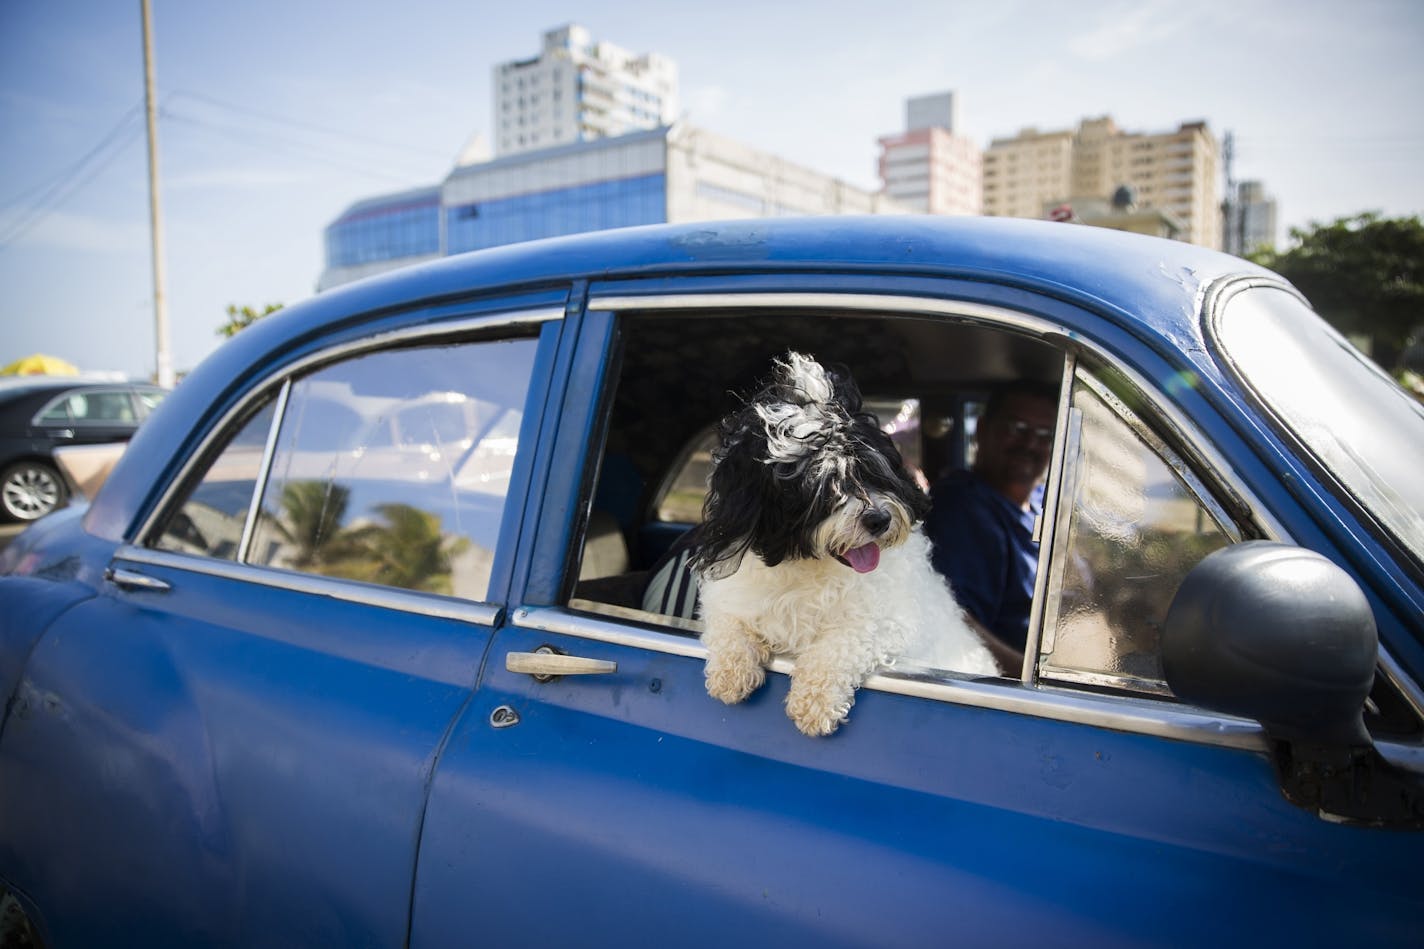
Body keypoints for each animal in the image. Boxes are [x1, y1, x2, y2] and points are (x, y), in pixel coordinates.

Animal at [694, 350, 996, 735]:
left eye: (871, 472)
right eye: (822, 486)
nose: (879, 520)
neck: (805, 566)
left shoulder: (886, 623)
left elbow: (838, 646)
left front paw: (814, 703)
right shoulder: (729, 596)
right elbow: (727, 625)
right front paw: (729, 674)